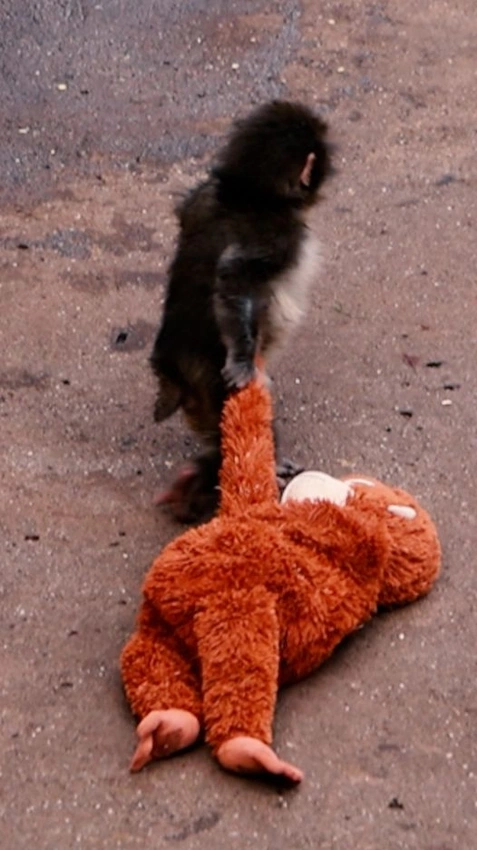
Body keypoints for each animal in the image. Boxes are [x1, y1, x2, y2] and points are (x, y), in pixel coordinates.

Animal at [150, 100, 333, 521]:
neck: (245, 193)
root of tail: (171, 364)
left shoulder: (201, 197)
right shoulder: (279, 234)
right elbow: (234, 275)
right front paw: (242, 360)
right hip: (210, 385)